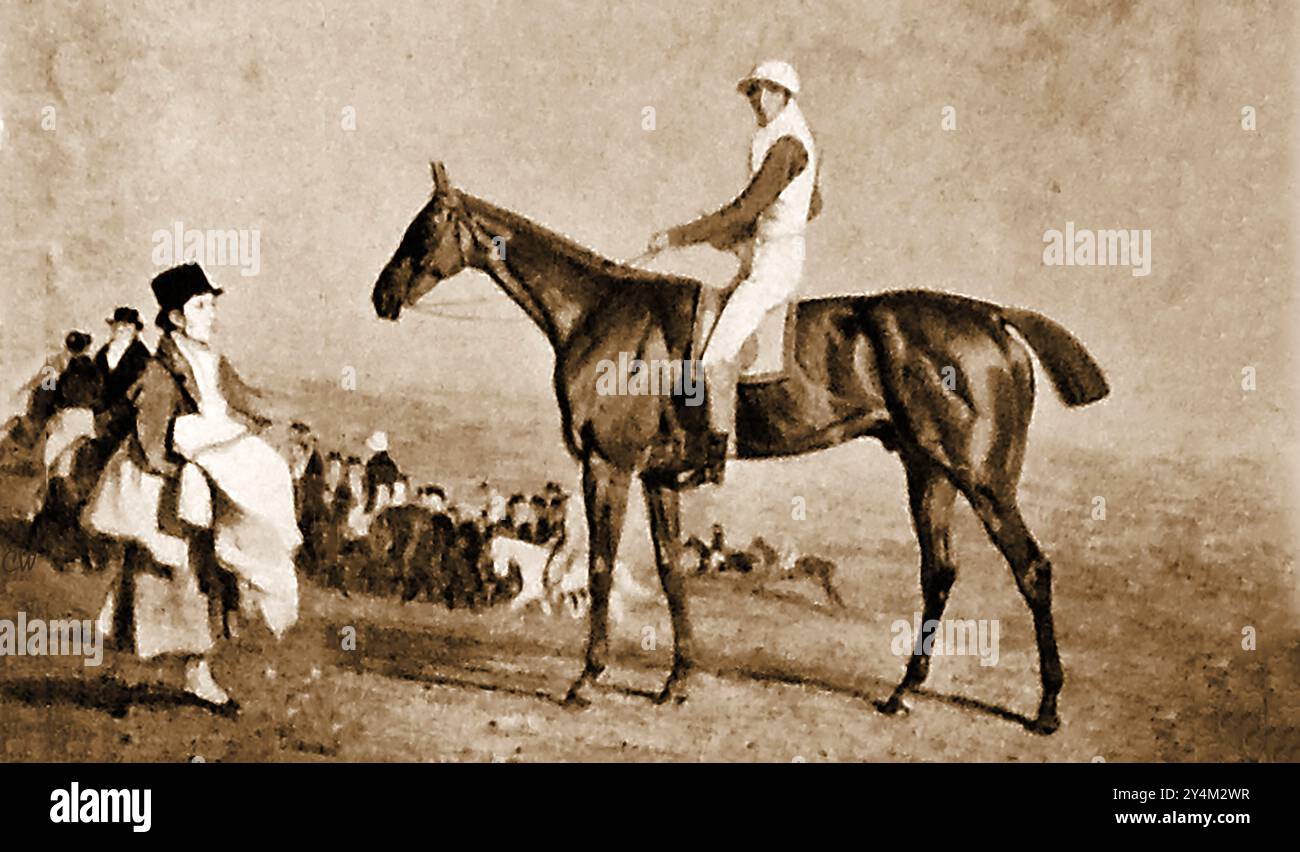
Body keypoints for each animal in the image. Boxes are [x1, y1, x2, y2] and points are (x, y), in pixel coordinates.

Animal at [371, 163, 1112, 738]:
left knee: (1032, 569)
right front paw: (677, 680)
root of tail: (993, 318)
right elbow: (671, 571)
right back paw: (903, 692)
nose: (382, 295)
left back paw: (1046, 708)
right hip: (928, 471)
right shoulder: (657, 477)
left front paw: (586, 679)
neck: (599, 312)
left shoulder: (609, 465)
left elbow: (603, 566)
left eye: (424, 227)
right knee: (940, 572)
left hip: (982, 479)